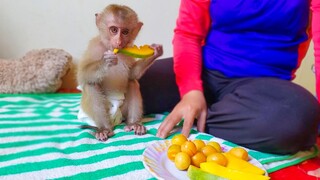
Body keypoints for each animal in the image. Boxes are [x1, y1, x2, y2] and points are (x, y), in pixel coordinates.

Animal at [77, 3, 162, 141]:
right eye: (114, 30)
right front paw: (105, 62)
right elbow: (82, 75)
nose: (118, 42)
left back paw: (133, 123)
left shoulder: (127, 51)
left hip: (122, 113)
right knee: (91, 84)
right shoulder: (95, 46)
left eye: (125, 32)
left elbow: (132, 74)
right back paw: (104, 129)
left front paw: (155, 53)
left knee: (132, 82)